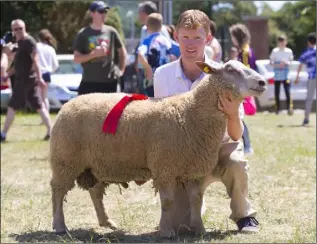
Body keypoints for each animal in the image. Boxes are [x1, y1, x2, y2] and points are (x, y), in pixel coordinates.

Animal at [50, 60, 266, 237]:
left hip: (98, 162)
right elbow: (168, 201)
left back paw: (107, 222)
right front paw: (166, 231)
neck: (190, 113)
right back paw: (60, 226)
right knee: (58, 192)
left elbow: (196, 199)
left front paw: (199, 229)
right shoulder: (164, 167)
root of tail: (70, 103)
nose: (262, 82)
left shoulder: (194, 168)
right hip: (65, 160)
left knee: (95, 192)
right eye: (230, 70)